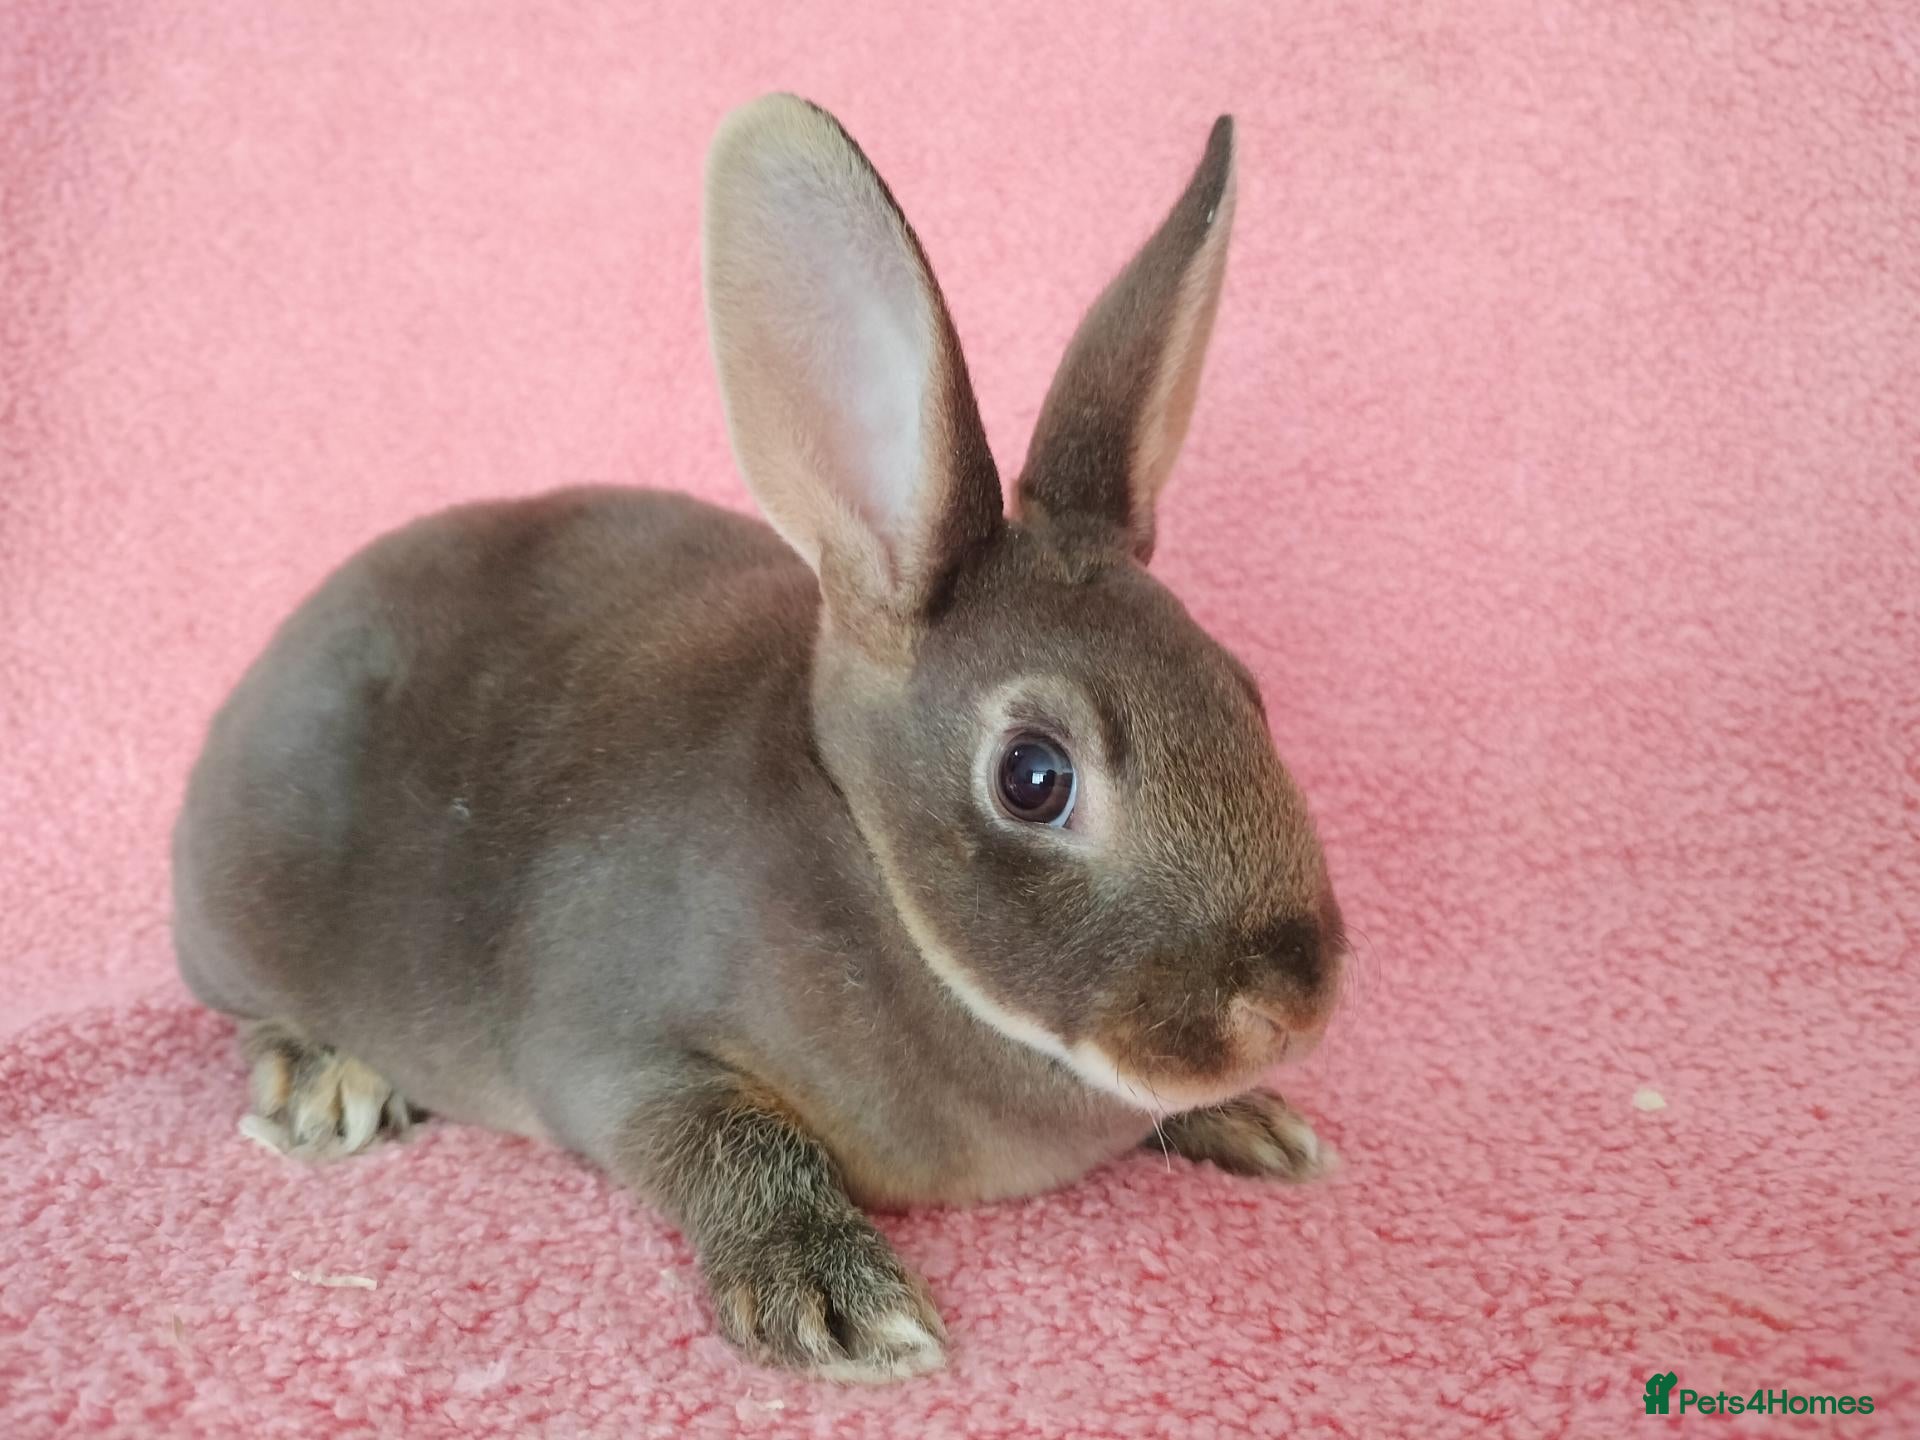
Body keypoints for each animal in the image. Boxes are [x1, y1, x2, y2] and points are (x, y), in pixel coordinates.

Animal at [171, 94, 1348, 1383]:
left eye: (1244, 690)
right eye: (1034, 777)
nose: (1292, 1003)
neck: (871, 870)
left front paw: (1255, 1123)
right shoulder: (618, 1052)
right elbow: (726, 1147)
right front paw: (834, 1299)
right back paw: (322, 1083)